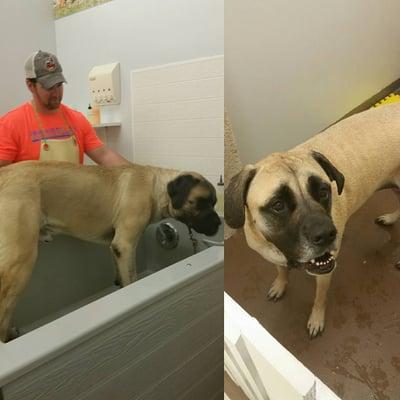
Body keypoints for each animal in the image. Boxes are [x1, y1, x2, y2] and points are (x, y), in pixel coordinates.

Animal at [0, 159, 220, 340]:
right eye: (201, 202)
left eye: (214, 202)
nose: (219, 223)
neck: (156, 188)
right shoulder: (126, 245)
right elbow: (131, 278)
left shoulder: (117, 247)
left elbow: (122, 274)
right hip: (20, 262)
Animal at [227, 101, 400, 338]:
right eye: (278, 205)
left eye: (323, 191)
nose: (326, 235)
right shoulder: (273, 256)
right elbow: (281, 271)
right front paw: (280, 284)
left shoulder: (325, 272)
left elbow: (319, 297)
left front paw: (316, 318)